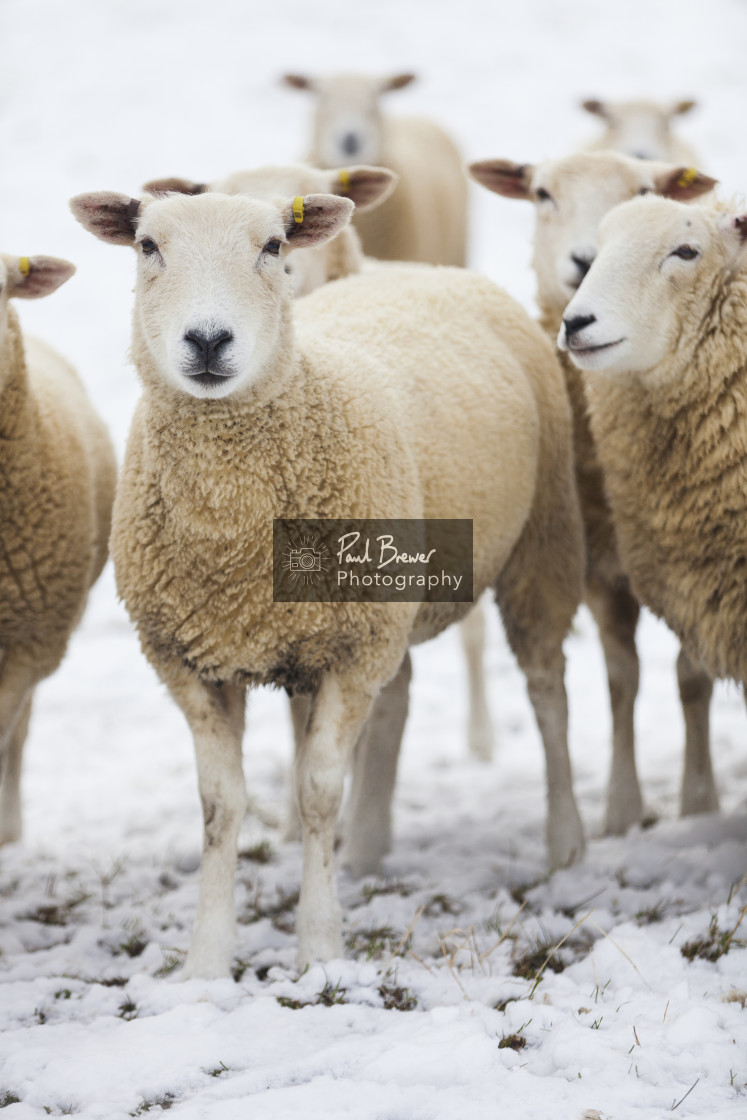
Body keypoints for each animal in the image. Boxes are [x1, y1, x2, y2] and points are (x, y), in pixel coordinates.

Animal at [69, 188, 582, 976]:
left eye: (274, 245)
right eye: (147, 246)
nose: (208, 340)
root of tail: (426, 268)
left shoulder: (350, 650)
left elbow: (315, 794)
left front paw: (318, 946)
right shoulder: (186, 657)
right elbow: (219, 805)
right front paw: (206, 962)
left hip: (540, 543)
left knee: (548, 692)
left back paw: (564, 842)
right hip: (390, 607)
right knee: (399, 701)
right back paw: (369, 847)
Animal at [468, 151, 716, 833]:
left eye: (643, 190)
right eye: (542, 193)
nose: (584, 260)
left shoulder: (692, 559)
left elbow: (691, 676)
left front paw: (700, 801)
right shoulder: (602, 569)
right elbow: (620, 681)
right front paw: (623, 808)